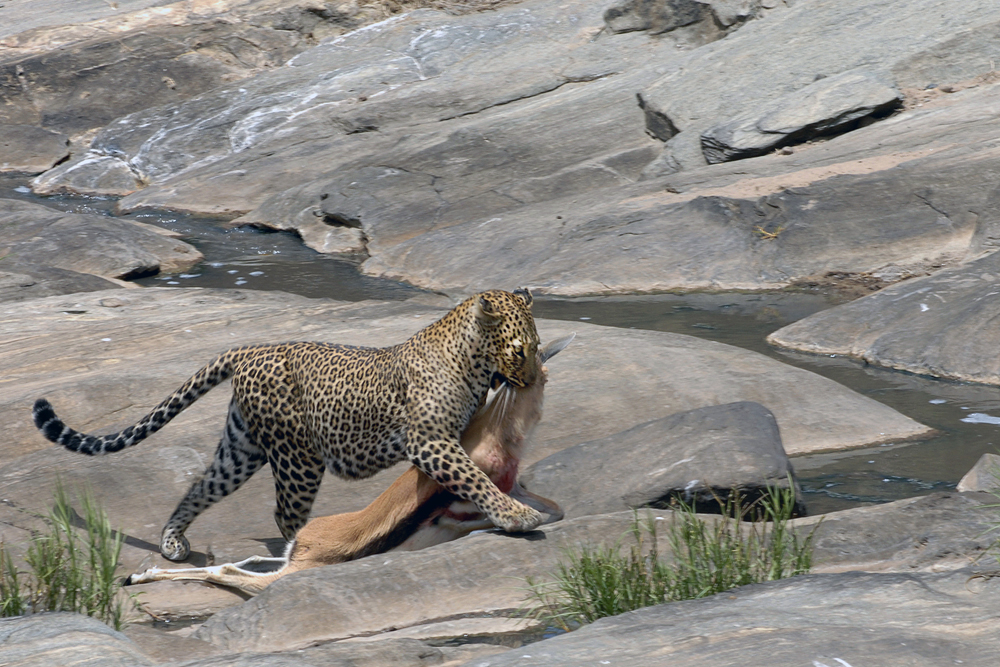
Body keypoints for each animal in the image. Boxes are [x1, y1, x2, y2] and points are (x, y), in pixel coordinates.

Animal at [31, 290, 544, 560]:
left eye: (537, 347)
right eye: (520, 349)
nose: (533, 378)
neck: (472, 362)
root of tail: (252, 348)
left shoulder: (448, 440)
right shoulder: (430, 441)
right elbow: (474, 478)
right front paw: (515, 516)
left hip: (241, 449)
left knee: (201, 485)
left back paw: (174, 542)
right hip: (297, 456)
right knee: (285, 514)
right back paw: (304, 549)